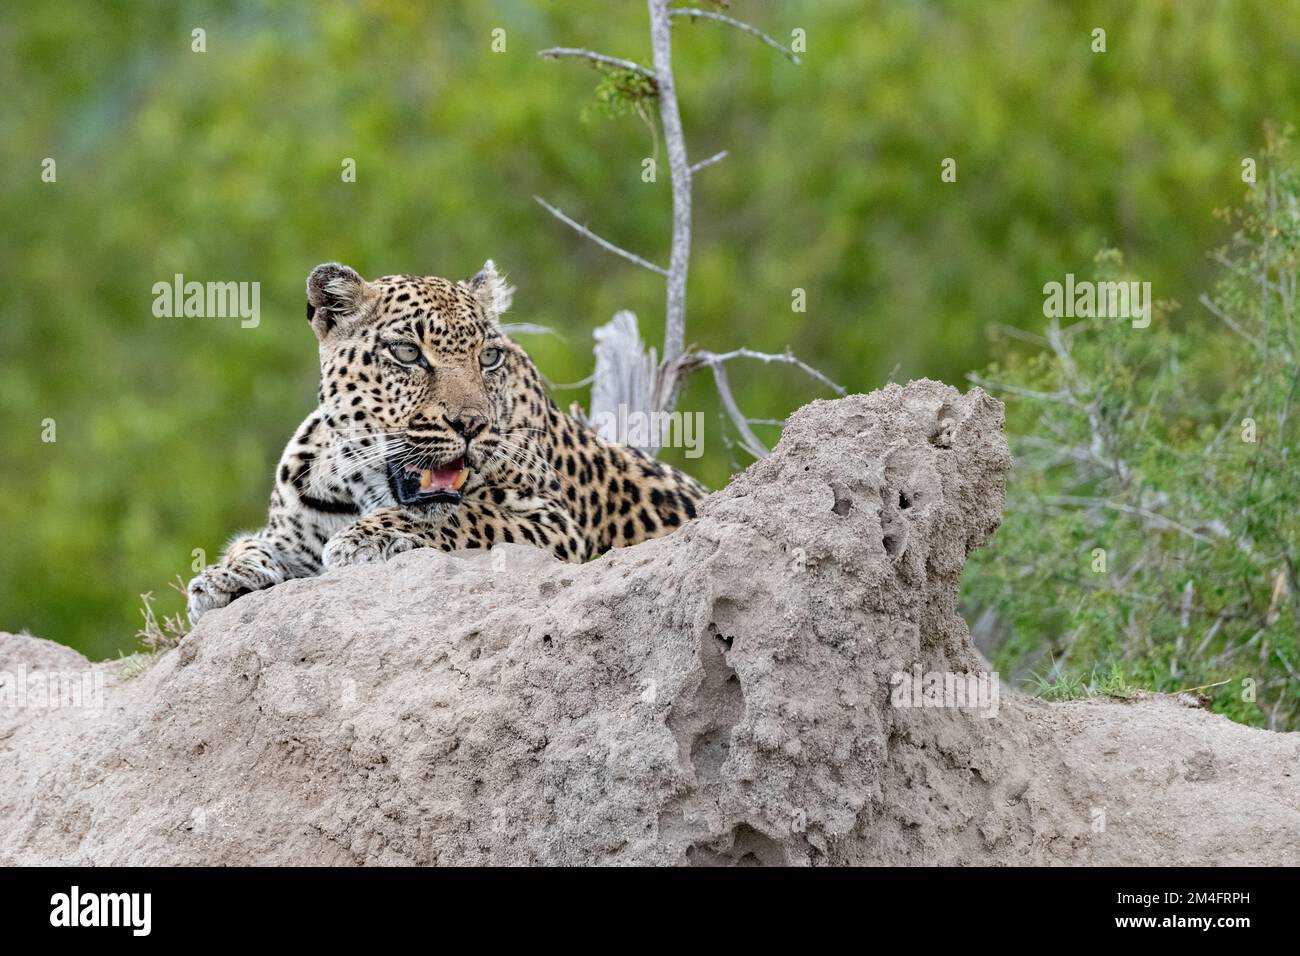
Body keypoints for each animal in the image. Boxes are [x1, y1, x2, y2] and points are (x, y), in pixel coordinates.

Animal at [185, 260, 702, 629]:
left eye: (489, 357)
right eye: (408, 353)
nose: (471, 423)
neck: (362, 486)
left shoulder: (553, 523)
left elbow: (468, 515)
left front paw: (364, 538)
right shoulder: (290, 532)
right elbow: (249, 544)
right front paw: (222, 577)